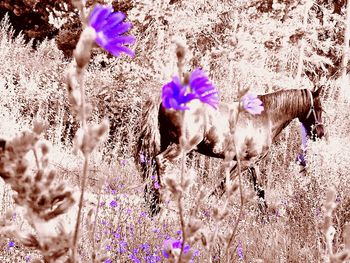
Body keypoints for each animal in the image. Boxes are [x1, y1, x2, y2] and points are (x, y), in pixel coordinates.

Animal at [135, 87, 326, 216]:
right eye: (318, 108)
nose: (320, 133)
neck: (266, 116)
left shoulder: (254, 164)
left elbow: (260, 190)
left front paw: (264, 217)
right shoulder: (245, 162)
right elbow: (223, 186)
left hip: (164, 142)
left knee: (151, 163)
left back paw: (152, 201)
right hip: (181, 146)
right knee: (161, 161)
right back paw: (160, 201)